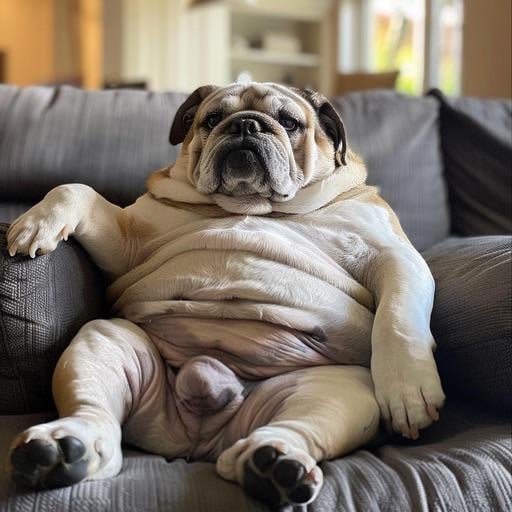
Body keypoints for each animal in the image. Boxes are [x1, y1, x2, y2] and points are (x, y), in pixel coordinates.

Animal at [7, 84, 444, 508]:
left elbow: (397, 317)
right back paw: (61, 449)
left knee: (300, 425)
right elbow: (77, 189)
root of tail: (202, 439)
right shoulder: (126, 242)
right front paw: (36, 223)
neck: (253, 205)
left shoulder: (393, 254)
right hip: (107, 342)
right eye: (212, 118)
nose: (246, 125)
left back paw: (275, 464)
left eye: (289, 122)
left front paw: (407, 389)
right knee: (95, 414)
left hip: (337, 389)